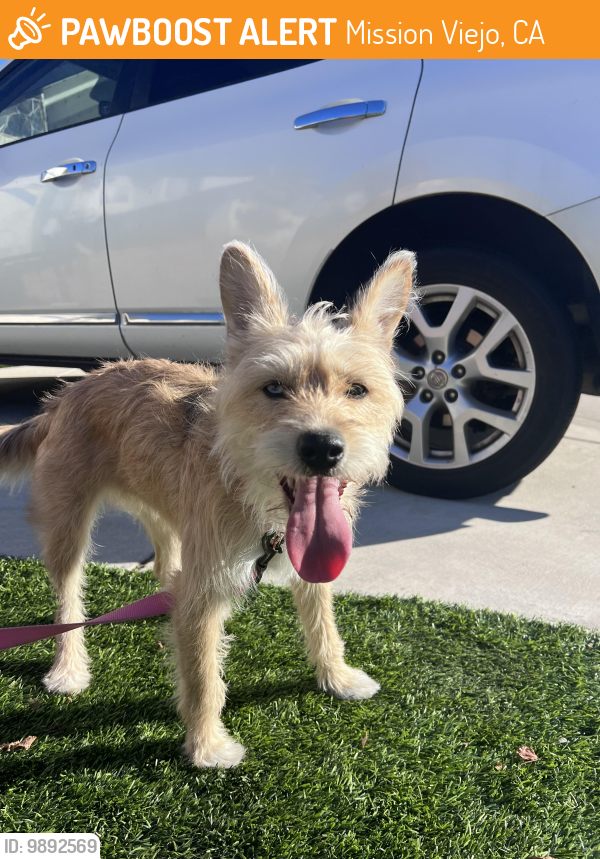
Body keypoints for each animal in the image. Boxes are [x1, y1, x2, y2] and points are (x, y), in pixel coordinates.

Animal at [0, 244, 412, 772]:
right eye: (273, 388)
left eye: (357, 390)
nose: (322, 447)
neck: (260, 505)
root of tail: (70, 391)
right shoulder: (207, 585)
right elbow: (202, 674)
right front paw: (206, 747)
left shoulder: (309, 563)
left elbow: (324, 621)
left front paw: (337, 677)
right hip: (67, 523)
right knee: (68, 594)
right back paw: (69, 667)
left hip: (162, 506)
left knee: (165, 561)